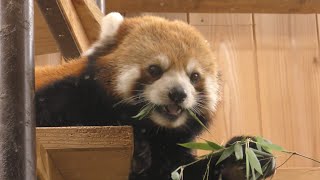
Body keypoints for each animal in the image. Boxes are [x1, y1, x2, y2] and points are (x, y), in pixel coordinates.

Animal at [35, 13, 276, 180]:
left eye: (194, 76)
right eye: (154, 70)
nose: (178, 94)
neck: (153, 129)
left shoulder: (171, 150)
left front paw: (243, 158)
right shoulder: (66, 96)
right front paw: (138, 149)